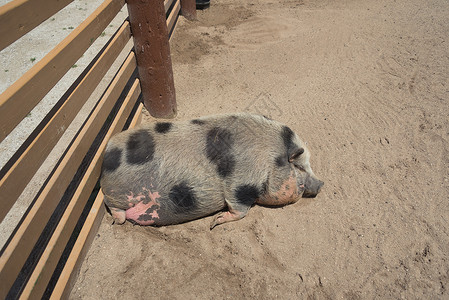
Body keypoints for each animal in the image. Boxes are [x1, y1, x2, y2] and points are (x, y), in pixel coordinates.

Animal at [100, 113, 322, 230]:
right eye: (299, 166)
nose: (321, 183)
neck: (270, 159)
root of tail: (104, 159)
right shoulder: (240, 185)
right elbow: (240, 210)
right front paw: (215, 222)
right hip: (115, 194)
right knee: (114, 208)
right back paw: (115, 221)